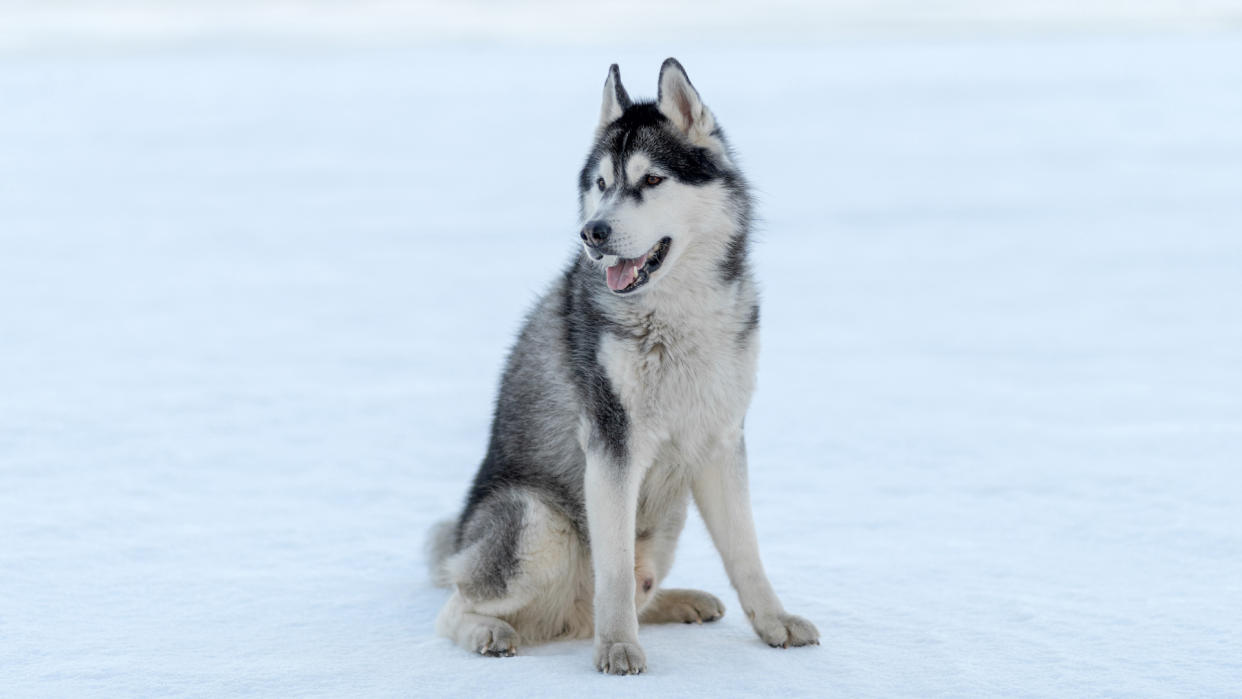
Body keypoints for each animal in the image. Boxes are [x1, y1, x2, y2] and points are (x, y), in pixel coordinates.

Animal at [432, 58, 819, 670]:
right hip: (536, 521)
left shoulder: (720, 441)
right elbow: (613, 567)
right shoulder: (613, 444)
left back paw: (680, 602)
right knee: (454, 606)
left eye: (652, 180)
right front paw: (617, 646)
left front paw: (773, 622)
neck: (676, 320)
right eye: (601, 185)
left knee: (640, 588)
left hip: (671, 510)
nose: (594, 233)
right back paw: (490, 632)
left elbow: (745, 551)